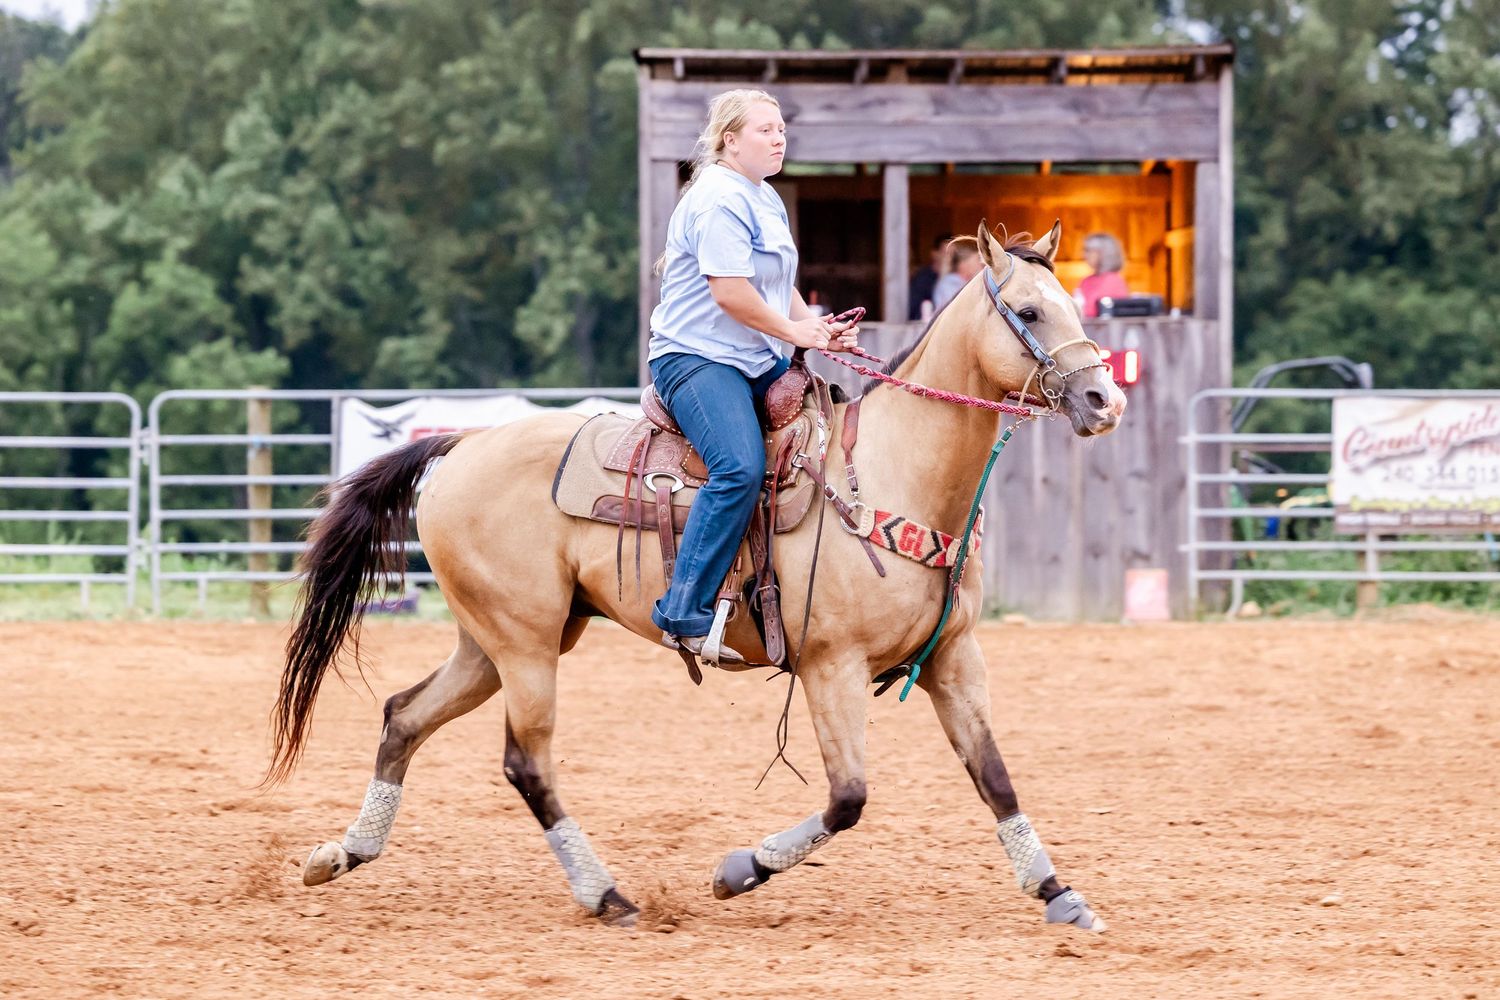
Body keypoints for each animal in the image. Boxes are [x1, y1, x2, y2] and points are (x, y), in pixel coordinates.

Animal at [267, 221, 1127, 932]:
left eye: (1071, 307)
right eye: (1030, 311)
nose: (1104, 399)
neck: (891, 474)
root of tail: (461, 444)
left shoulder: (954, 658)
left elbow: (995, 776)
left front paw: (1059, 893)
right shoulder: (833, 667)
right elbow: (848, 798)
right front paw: (739, 870)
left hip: (497, 639)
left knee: (403, 716)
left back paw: (342, 853)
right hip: (524, 645)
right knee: (525, 761)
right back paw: (605, 895)